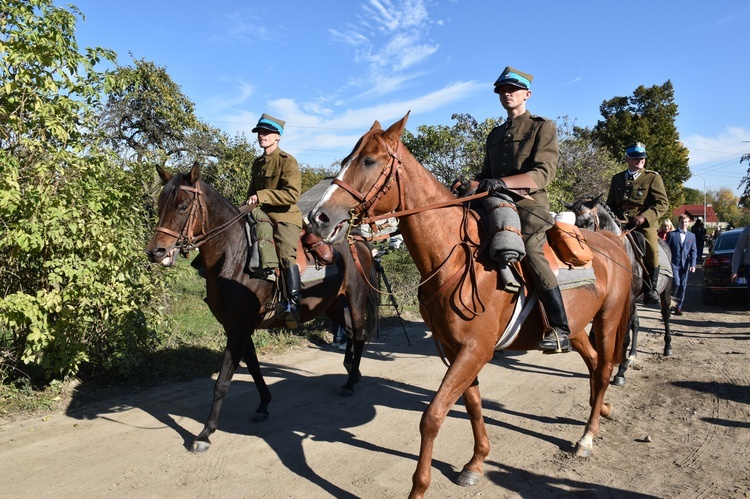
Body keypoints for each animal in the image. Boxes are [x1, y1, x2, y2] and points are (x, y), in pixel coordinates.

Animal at [147, 164, 382, 454]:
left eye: (182, 206)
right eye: (160, 204)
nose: (156, 251)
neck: (235, 255)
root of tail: (357, 241)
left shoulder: (238, 328)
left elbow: (222, 381)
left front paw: (205, 433)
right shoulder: (236, 327)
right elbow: (254, 367)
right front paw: (263, 405)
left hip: (355, 299)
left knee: (359, 335)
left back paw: (349, 383)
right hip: (332, 305)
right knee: (348, 332)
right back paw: (352, 371)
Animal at [310, 114, 636, 499]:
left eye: (369, 161)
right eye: (347, 159)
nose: (319, 217)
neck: (453, 258)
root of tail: (614, 243)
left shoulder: (475, 350)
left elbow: (433, 416)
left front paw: (419, 488)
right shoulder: (457, 350)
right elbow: (473, 404)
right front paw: (476, 463)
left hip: (608, 319)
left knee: (604, 368)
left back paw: (586, 436)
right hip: (576, 328)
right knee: (594, 364)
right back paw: (601, 412)